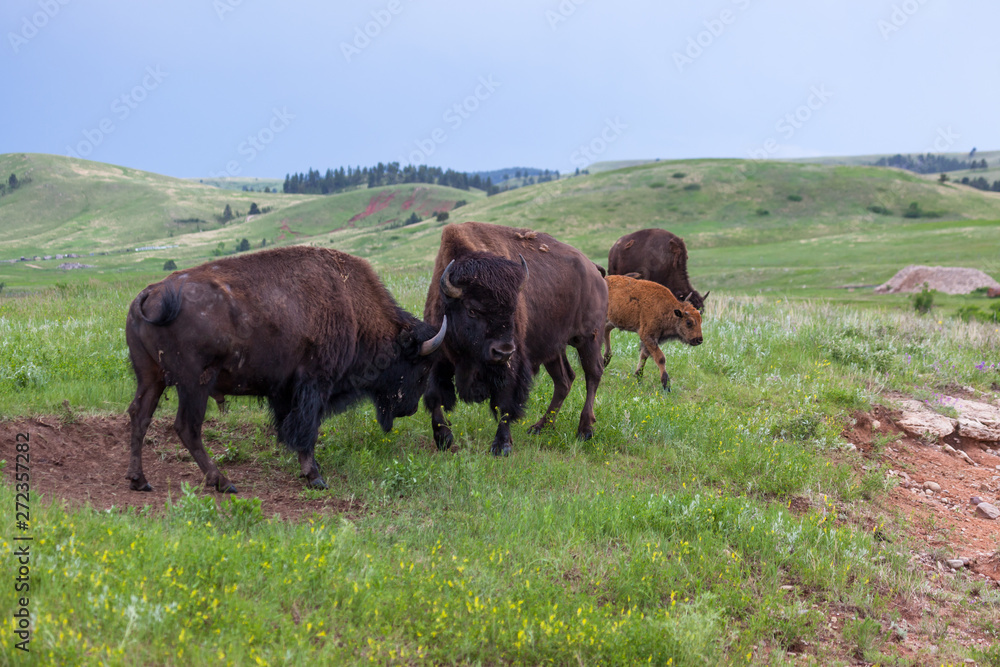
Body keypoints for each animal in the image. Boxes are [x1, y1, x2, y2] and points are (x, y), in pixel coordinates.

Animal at [125, 248, 446, 494]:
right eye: (420, 368)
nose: (408, 409)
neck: (352, 307)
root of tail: (150, 293)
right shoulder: (315, 383)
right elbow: (307, 428)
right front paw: (315, 477)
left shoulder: (284, 390)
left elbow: (289, 425)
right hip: (195, 383)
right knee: (187, 427)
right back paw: (223, 483)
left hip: (151, 378)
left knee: (139, 416)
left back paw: (140, 481)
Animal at [424, 222, 608, 456]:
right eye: (472, 310)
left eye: (513, 309)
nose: (502, 351)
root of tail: (594, 269)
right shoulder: (438, 355)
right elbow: (435, 396)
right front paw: (443, 439)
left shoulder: (512, 364)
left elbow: (505, 403)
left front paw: (502, 446)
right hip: (554, 348)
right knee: (565, 380)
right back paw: (540, 427)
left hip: (588, 338)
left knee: (593, 374)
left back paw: (584, 430)